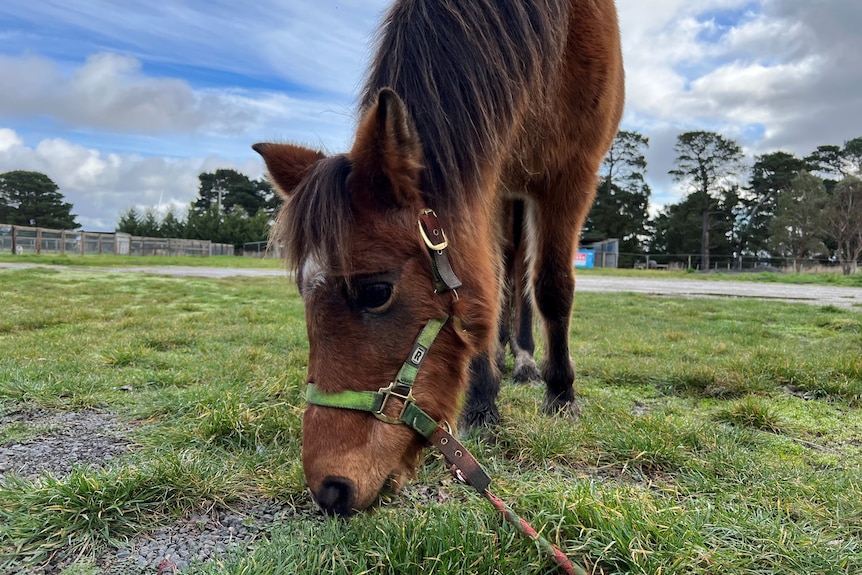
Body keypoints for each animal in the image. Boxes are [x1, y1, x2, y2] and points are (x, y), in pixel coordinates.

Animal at [253, 0, 624, 516]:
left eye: (376, 291)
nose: (328, 489)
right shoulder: (487, 179)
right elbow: (487, 290)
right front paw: (482, 403)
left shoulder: (571, 175)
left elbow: (552, 288)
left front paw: (562, 394)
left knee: (523, 279)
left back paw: (528, 363)